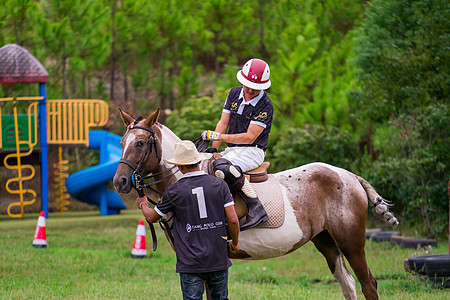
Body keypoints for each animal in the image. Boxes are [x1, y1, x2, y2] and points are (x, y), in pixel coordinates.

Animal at [114, 108, 400, 300]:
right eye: (121, 142)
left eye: (140, 143)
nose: (120, 182)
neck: (185, 176)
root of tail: (350, 176)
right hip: (326, 240)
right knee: (347, 283)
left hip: (351, 241)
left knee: (368, 283)